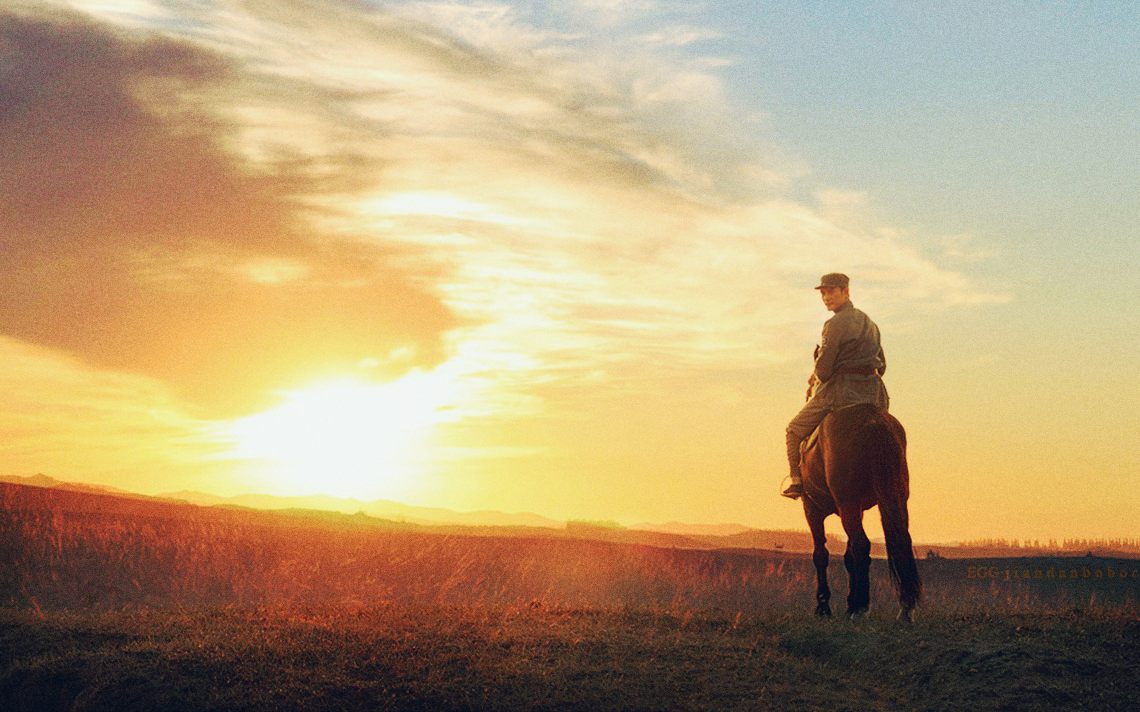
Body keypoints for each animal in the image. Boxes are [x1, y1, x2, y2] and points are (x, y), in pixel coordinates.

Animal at [798, 403, 921, 619]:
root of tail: (874, 420)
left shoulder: (812, 508)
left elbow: (821, 554)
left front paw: (824, 606)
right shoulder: (859, 509)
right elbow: (848, 556)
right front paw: (849, 602)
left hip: (847, 503)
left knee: (862, 544)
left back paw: (861, 607)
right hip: (895, 498)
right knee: (902, 541)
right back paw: (905, 608)